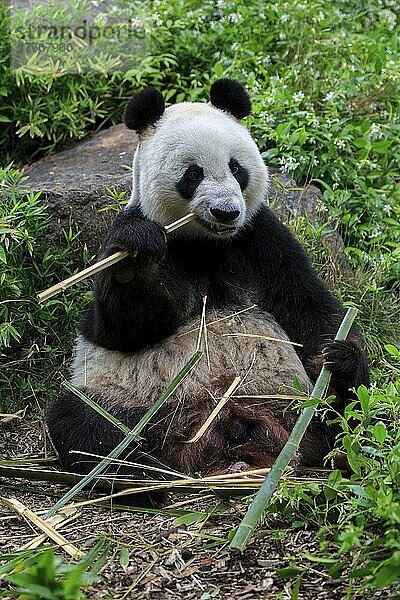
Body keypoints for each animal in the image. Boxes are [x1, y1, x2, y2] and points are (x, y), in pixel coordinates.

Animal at [47, 78, 368, 502]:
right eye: (193, 174)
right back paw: (141, 476)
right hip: (131, 399)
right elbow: (121, 328)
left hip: (295, 402)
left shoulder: (260, 237)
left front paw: (339, 354)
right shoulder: (145, 233)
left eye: (236, 167)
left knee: (346, 409)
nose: (226, 212)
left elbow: (308, 306)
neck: (205, 243)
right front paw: (135, 258)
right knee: (83, 422)